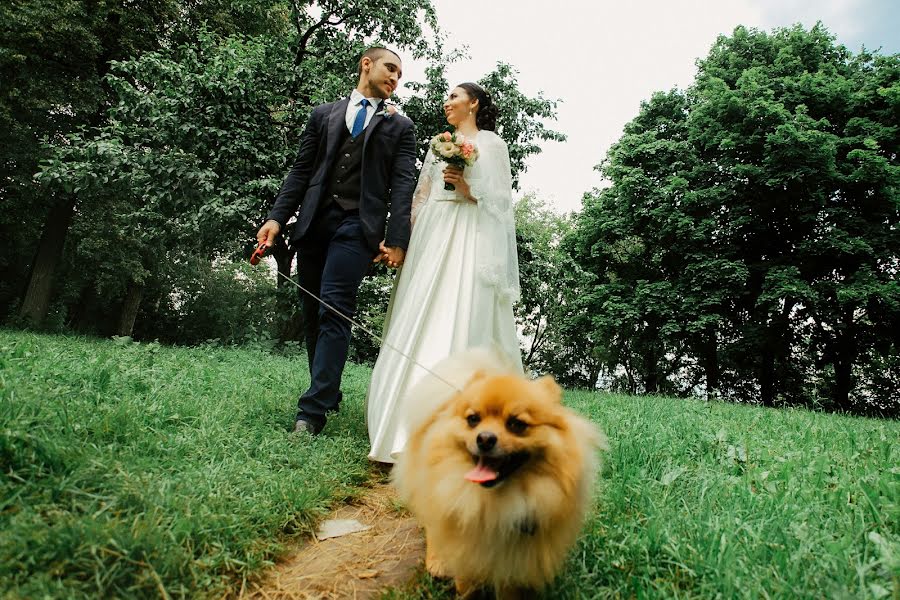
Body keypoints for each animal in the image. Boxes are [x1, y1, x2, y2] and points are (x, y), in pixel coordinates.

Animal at [392, 350, 608, 596]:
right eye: (473, 419)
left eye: (517, 424)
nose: (485, 438)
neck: (497, 504)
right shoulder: (465, 544)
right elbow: (465, 584)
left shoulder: (513, 559)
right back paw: (436, 561)